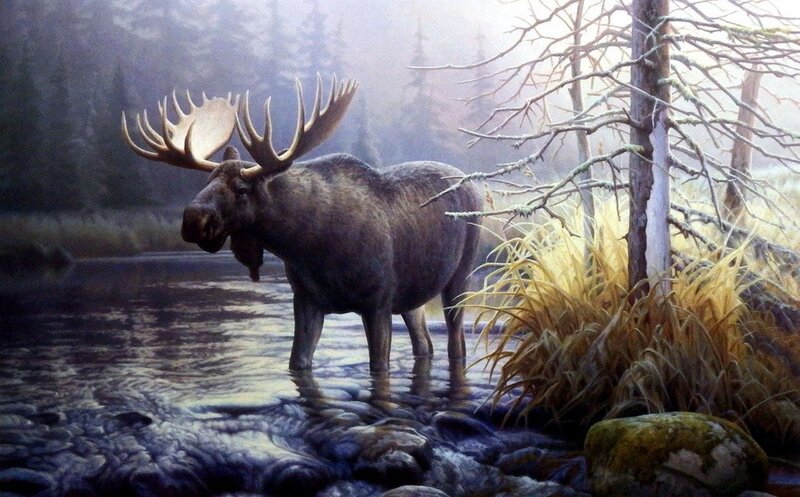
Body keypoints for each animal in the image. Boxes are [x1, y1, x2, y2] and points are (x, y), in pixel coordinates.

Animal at [121, 75, 482, 372]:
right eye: (207, 180)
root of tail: (474, 184)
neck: (307, 243)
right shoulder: (306, 299)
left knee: (457, 343)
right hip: (413, 296)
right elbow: (298, 362)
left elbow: (378, 368)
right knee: (425, 344)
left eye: (241, 189)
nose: (193, 219)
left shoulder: (377, 302)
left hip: (459, 277)